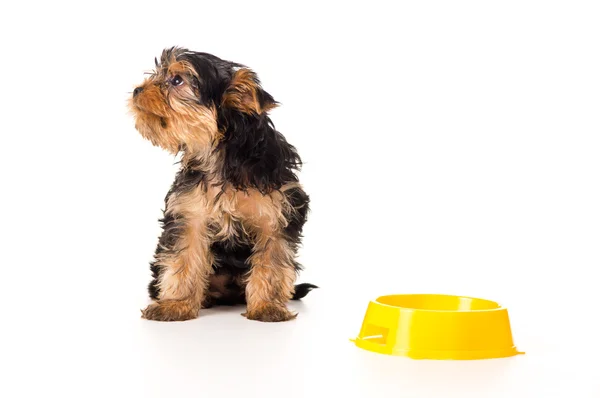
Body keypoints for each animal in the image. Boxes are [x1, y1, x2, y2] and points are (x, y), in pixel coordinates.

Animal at [129, 46, 316, 322]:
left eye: (176, 80)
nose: (137, 91)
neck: (221, 156)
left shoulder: (277, 213)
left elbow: (272, 260)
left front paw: (267, 306)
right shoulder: (189, 212)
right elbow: (183, 257)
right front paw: (176, 304)